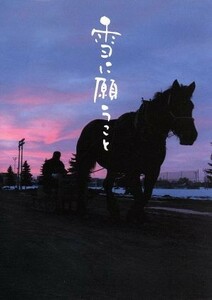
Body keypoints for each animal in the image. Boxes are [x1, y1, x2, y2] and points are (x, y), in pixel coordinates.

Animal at [75, 81, 198, 221]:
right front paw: (133, 214)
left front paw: (137, 214)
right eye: (176, 105)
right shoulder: (132, 170)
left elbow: (146, 195)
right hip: (85, 160)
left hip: (113, 166)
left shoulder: (153, 170)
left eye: (191, 106)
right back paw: (81, 209)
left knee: (107, 184)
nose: (191, 136)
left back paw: (113, 210)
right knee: (82, 180)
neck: (144, 133)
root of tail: (88, 127)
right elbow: (139, 195)